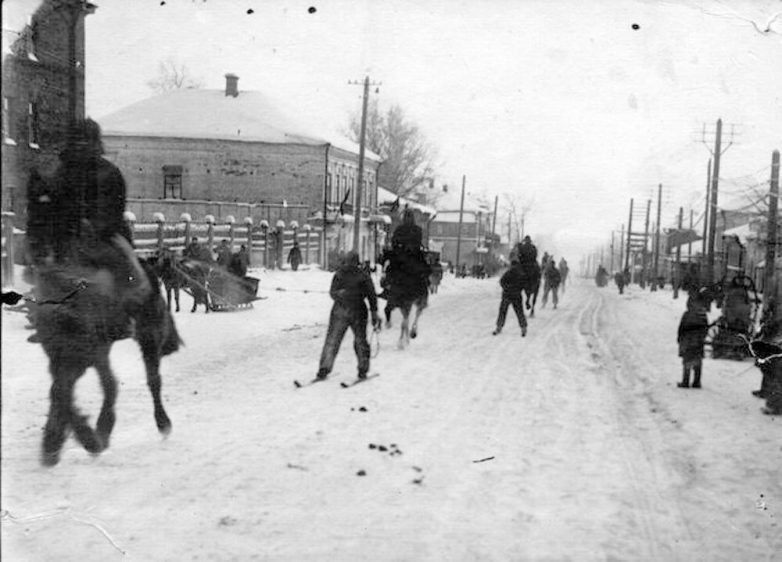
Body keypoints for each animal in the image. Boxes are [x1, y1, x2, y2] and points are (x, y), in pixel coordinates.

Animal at [29, 249, 181, 464]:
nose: (173, 344)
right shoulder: (72, 360)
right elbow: (64, 392)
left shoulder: (87, 357)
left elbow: (95, 388)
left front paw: (89, 436)